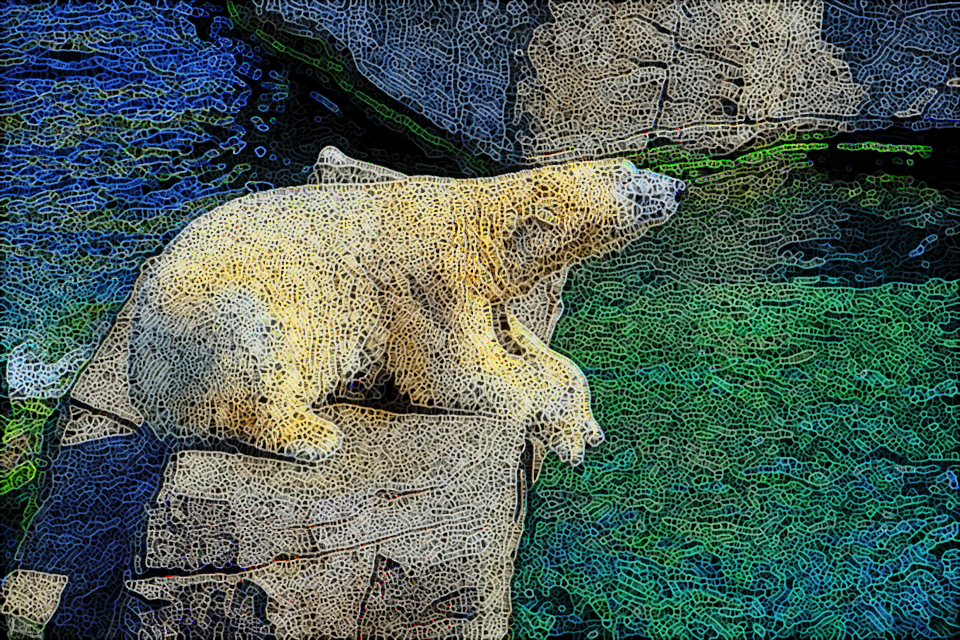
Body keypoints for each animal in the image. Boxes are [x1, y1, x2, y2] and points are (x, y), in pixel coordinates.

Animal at [126, 156, 685, 466]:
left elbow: (533, 352)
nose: (677, 186)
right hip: (199, 322)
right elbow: (459, 373)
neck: (478, 227)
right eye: (631, 181)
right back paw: (314, 433)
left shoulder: (489, 297)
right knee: (250, 340)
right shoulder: (431, 284)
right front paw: (567, 433)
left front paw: (585, 420)